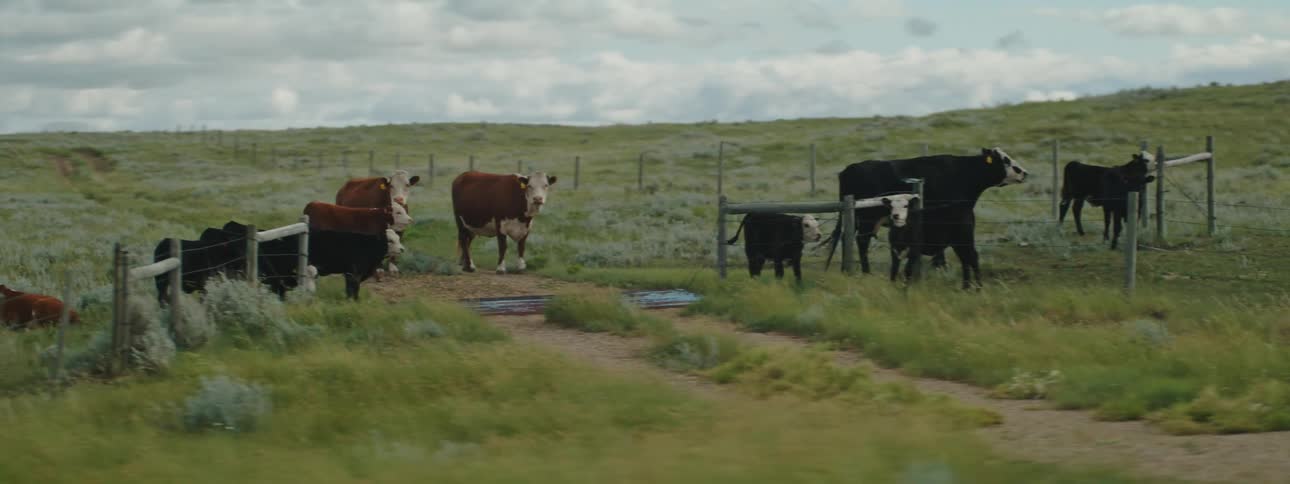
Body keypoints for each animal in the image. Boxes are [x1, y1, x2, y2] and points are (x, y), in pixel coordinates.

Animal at [825, 147, 1029, 289]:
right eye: (1005, 160)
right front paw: (940, 266)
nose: (1024, 173)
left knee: (848, 238)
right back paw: (866, 271)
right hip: (867, 219)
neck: (962, 173)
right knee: (862, 241)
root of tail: (849, 169)